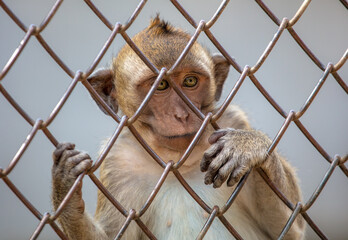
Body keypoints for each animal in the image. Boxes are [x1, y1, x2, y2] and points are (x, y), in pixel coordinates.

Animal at [51, 15, 304, 239]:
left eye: (190, 81)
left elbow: (290, 228)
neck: (175, 161)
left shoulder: (233, 120)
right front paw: (65, 189)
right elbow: (112, 235)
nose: (181, 115)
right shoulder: (117, 162)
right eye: (161, 85)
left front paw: (247, 145)